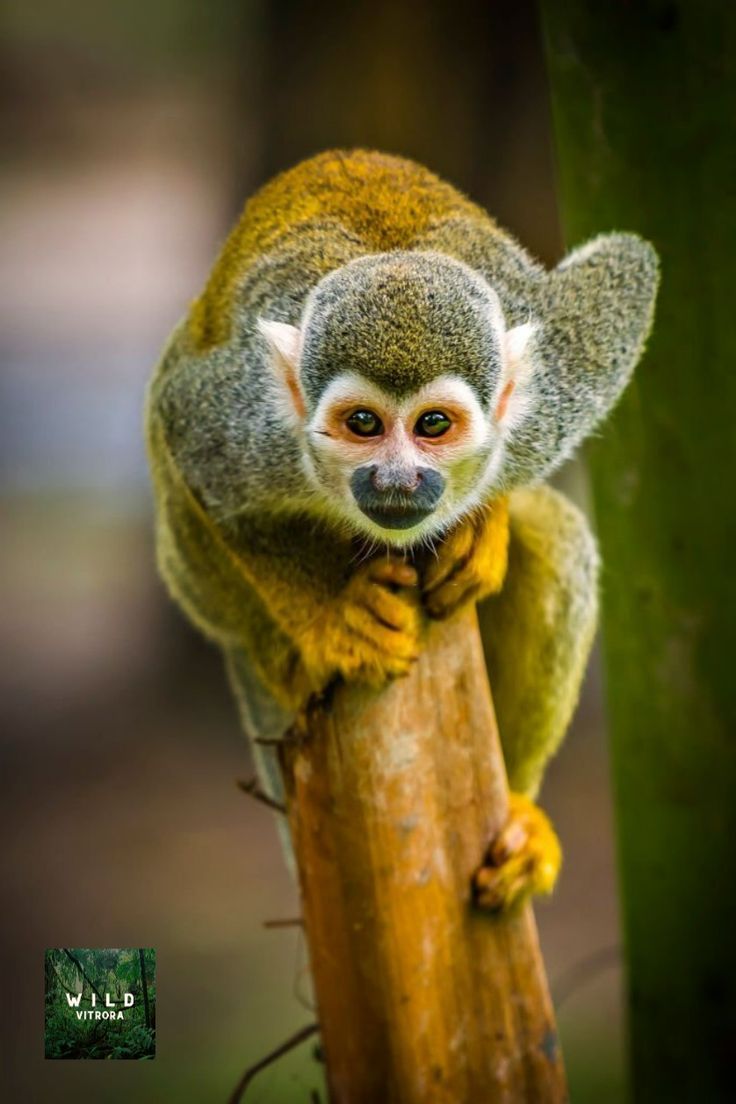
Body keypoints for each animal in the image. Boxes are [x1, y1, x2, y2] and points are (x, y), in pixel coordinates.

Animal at [146, 153, 657, 914]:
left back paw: (519, 812)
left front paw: (484, 527)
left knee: (562, 539)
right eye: (363, 424)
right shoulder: (243, 429)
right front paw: (334, 617)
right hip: (192, 577)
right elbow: (188, 436)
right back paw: (286, 658)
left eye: (432, 426)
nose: (396, 480)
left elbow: (628, 269)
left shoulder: (559, 391)